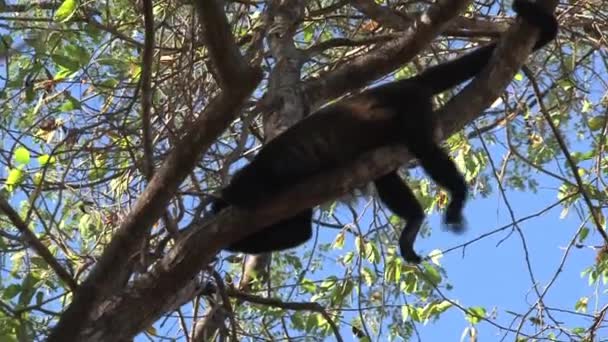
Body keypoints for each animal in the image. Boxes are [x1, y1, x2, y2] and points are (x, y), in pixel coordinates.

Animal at [211, 0, 560, 264]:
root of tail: (404, 83)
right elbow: (299, 231)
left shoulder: (255, 183)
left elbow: (253, 207)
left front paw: (224, 232)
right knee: (384, 176)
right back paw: (413, 221)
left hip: (412, 107)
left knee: (423, 147)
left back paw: (457, 195)